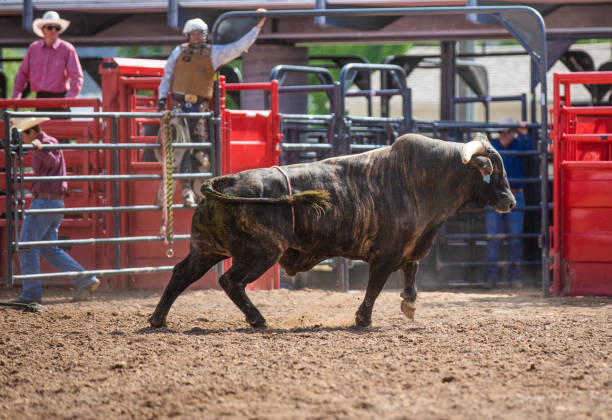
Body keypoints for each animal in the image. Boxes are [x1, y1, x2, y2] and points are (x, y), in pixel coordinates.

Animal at [149, 133, 516, 330]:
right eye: (492, 169)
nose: (510, 201)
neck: (423, 180)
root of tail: (225, 183)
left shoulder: (411, 247)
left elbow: (411, 273)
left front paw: (409, 305)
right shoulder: (385, 255)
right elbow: (375, 287)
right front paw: (363, 319)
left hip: (206, 249)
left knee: (181, 274)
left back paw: (157, 319)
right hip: (261, 253)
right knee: (230, 281)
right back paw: (257, 319)